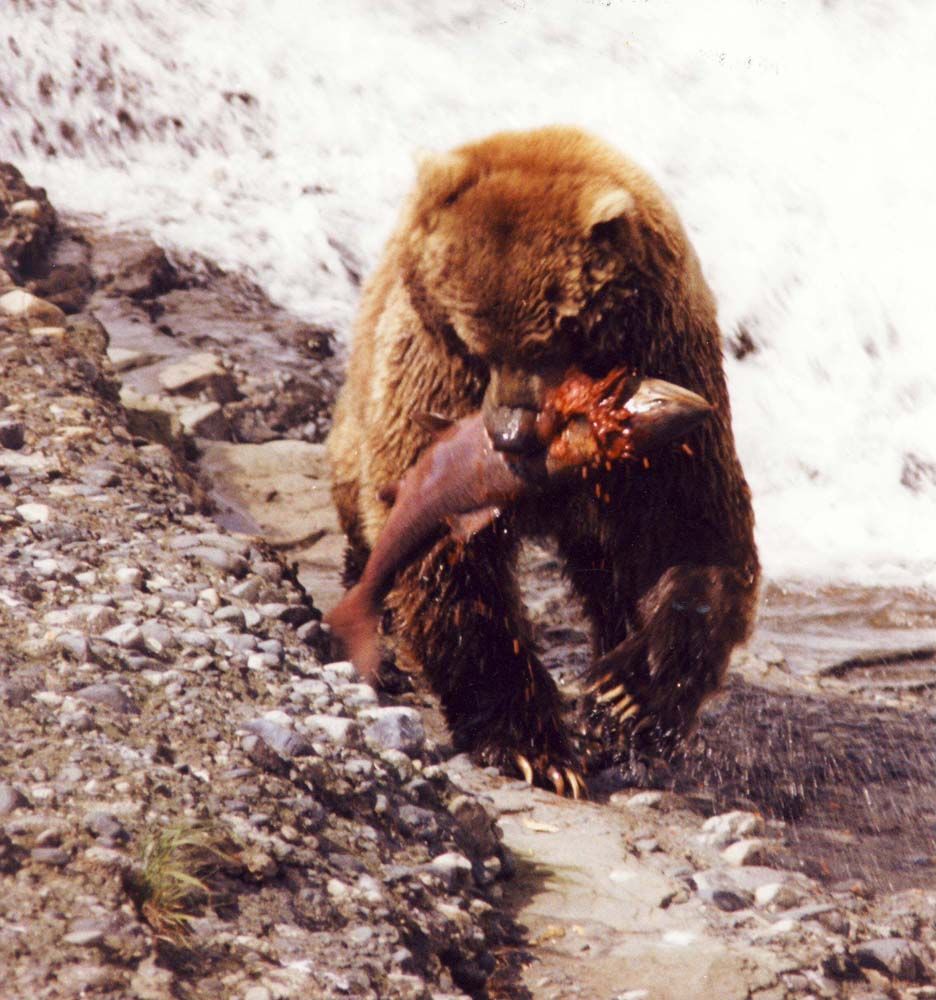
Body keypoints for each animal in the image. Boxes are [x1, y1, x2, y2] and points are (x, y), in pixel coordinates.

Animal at [327, 126, 759, 795]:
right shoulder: (431, 377)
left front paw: (626, 694)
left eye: (553, 336)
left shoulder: (674, 362)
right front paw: (537, 749)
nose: (508, 435)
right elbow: (456, 572)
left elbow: (692, 527)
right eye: (474, 341)